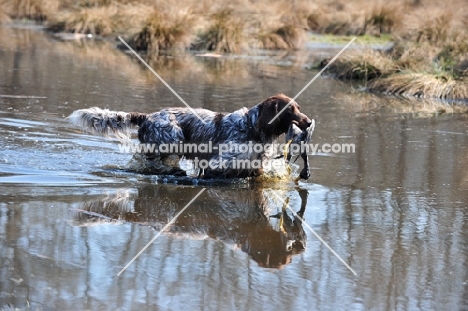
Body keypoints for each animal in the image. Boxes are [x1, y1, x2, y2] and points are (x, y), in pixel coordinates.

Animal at [67, 94, 312, 179]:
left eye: (299, 108)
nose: (309, 122)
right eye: (290, 110)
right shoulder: (218, 163)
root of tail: (146, 117)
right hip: (173, 139)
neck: (252, 126)